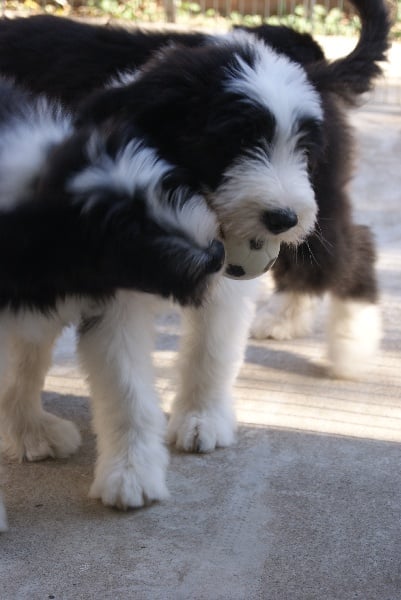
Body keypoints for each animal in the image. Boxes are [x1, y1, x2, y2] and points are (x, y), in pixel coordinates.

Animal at [0, 0, 390, 528]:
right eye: (234, 141)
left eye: (300, 148)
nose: (280, 217)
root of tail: (313, 61)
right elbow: (121, 382)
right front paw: (130, 473)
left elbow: (213, 345)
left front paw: (203, 419)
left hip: (319, 199)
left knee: (353, 248)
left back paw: (351, 348)